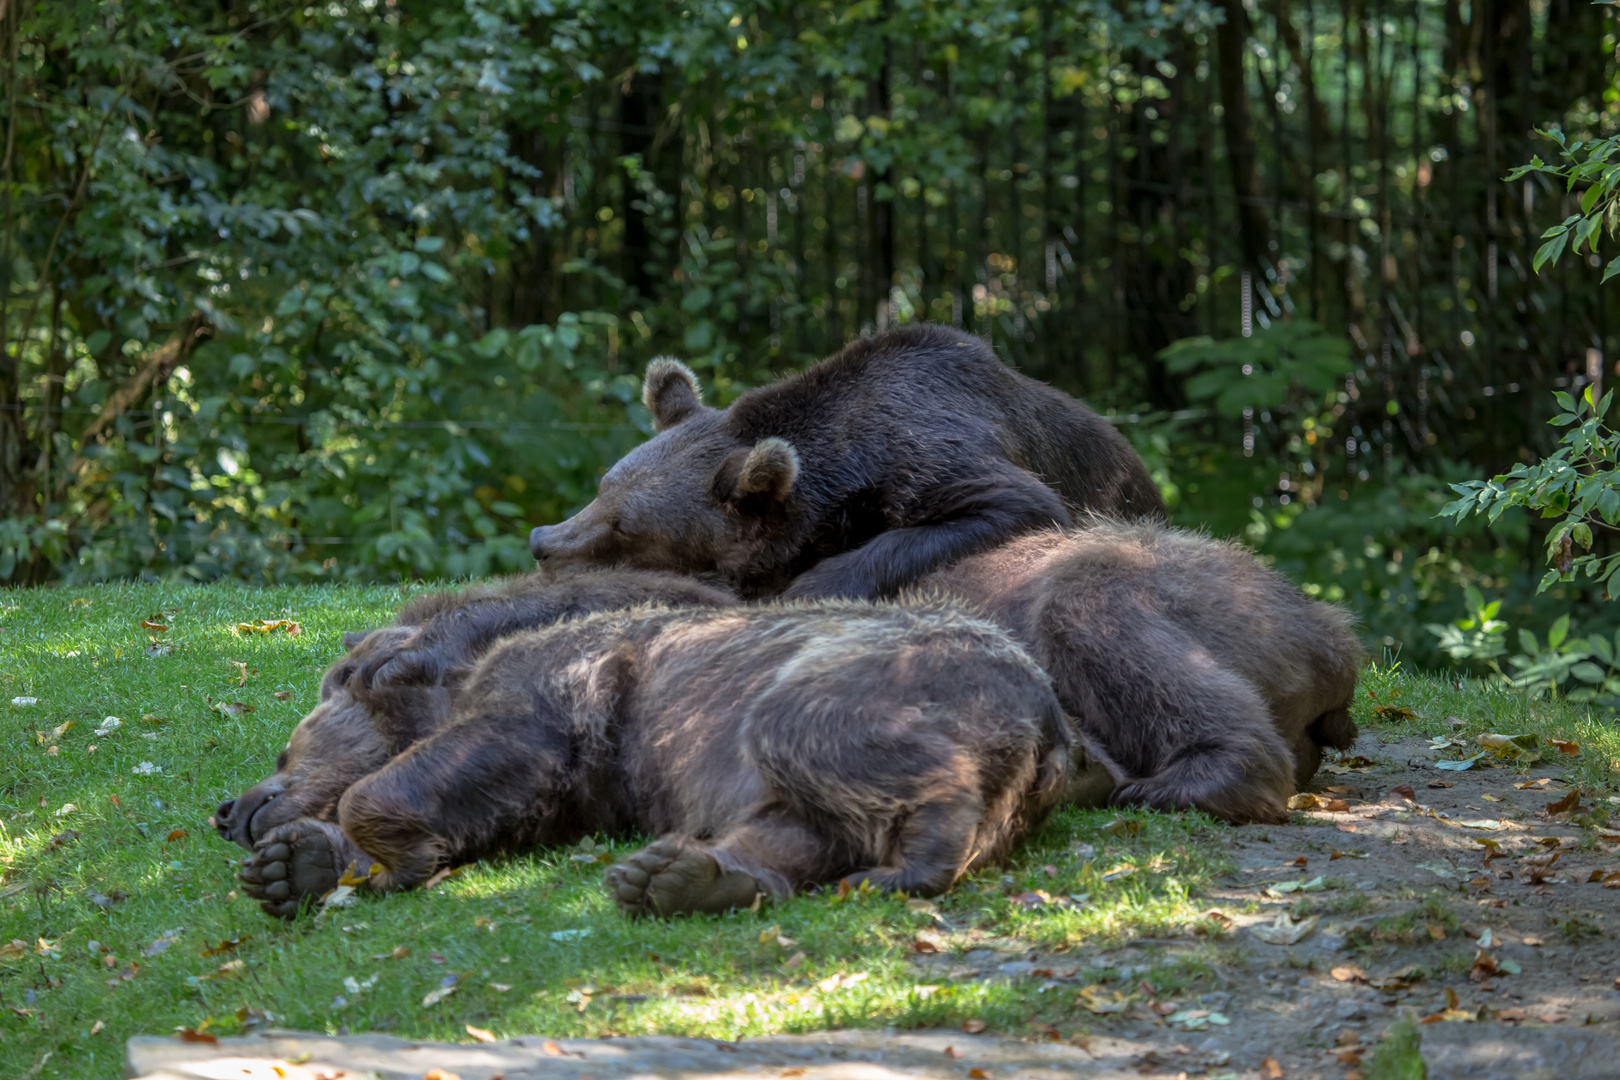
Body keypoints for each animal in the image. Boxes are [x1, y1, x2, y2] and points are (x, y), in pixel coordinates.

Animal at [225, 595, 1101, 919]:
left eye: (285, 744)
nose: (229, 807)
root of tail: (1051, 722)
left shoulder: (551, 702)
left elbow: (460, 761)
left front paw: (370, 847)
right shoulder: (573, 788)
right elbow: (483, 804)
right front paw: (297, 864)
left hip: (874, 680)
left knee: (816, 741)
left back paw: (914, 860)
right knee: (800, 824)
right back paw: (692, 878)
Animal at [524, 325, 1159, 605]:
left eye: (625, 526)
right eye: (603, 485)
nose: (542, 541)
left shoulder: (938, 452)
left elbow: (1013, 503)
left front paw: (810, 585)